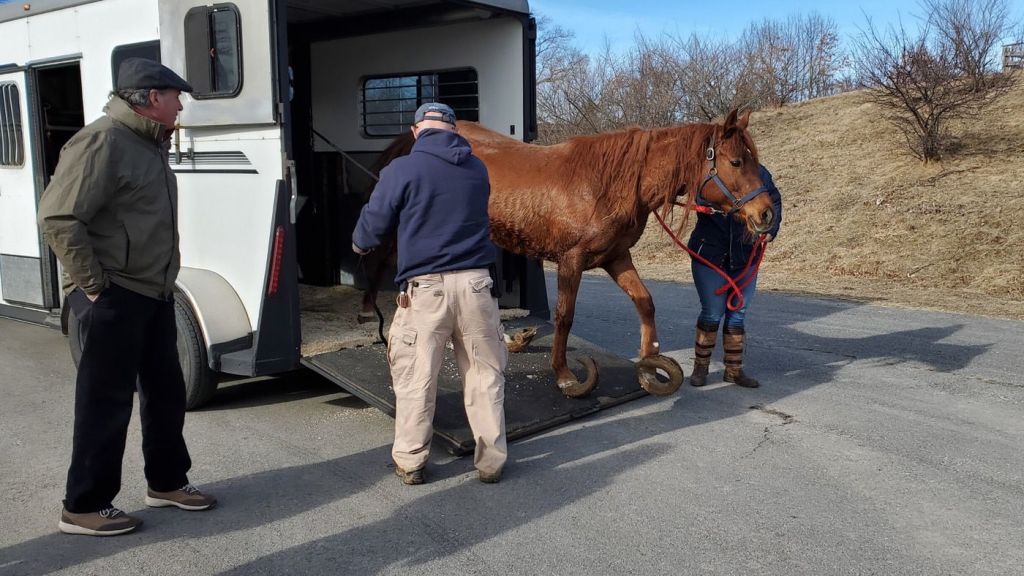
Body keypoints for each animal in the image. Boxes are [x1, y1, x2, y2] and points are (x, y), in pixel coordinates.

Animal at [359, 109, 776, 398]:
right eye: (737, 161)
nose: (766, 214)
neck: (608, 184)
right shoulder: (571, 261)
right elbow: (564, 316)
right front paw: (563, 375)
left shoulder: (616, 258)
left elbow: (645, 303)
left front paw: (649, 366)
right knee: (381, 261)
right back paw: (367, 311)